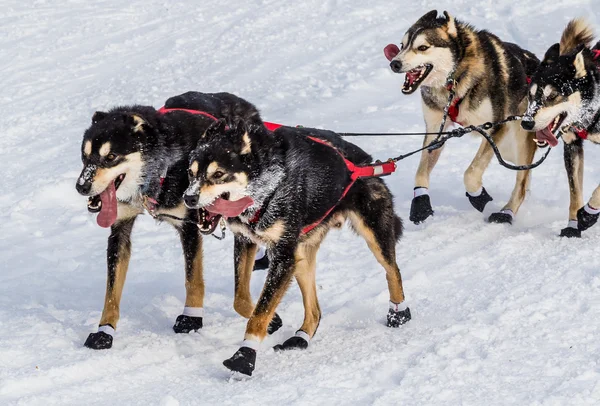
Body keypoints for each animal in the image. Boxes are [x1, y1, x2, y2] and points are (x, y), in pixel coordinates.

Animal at [74, 91, 276, 348]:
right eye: (85, 155)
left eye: (111, 156)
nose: (81, 186)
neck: (164, 167)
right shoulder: (120, 231)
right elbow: (111, 291)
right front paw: (104, 330)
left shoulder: (189, 227)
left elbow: (193, 279)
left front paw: (191, 318)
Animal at [182, 118, 408, 378]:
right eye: (190, 173)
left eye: (218, 174)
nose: (188, 198)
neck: (269, 185)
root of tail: (366, 162)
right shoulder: (247, 241)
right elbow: (242, 301)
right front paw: (273, 321)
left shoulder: (282, 257)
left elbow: (259, 314)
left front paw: (245, 355)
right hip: (301, 258)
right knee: (315, 310)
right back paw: (301, 337)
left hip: (372, 233)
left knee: (392, 270)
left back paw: (399, 313)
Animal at [386, 10, 540, 225]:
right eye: (402, 46)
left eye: (422, 47)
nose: (394, 63)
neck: (454, 80)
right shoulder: (435, 129)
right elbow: (421, 172)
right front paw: (421, 203)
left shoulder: (494, 128)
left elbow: (471, 173)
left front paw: (480, 197)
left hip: (520, 139)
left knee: (521, 183)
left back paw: (505, 213)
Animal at [520, 19, 600, 236]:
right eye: (531, 95)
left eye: (553, 96)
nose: (526, 123)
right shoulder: (572, 147)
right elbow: (575, 193)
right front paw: (573, 225)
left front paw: (588, 214)